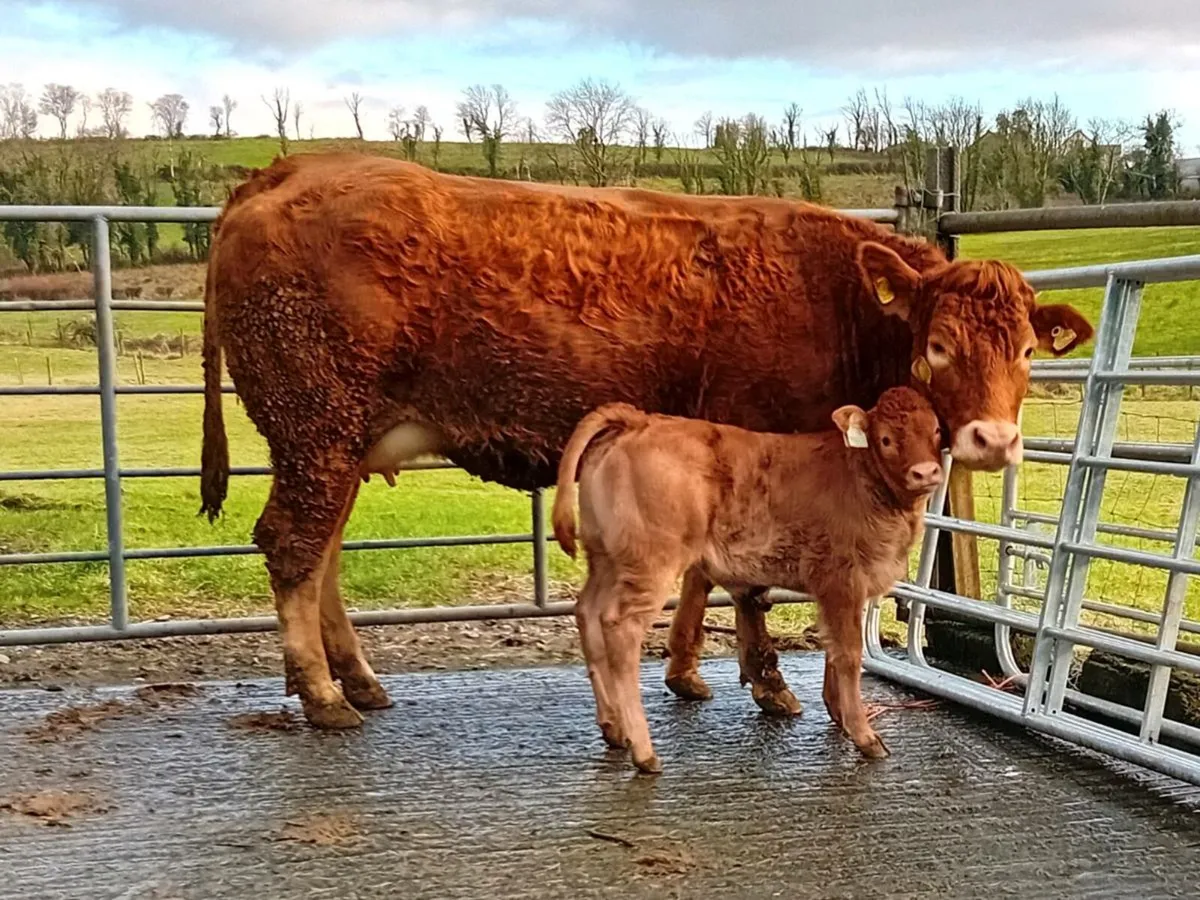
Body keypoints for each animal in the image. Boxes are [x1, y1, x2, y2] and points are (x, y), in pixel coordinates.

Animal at [199, 152, 1092, 730]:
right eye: (937, 345)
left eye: (1025, 349)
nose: (992, 438)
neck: (831, 297)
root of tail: (290, 168)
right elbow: (748, 584)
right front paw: (768, 685)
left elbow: (705, 571)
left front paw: (688, 671)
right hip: (316, 426)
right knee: (291, 546)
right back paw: (321, 696)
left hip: (336, 442)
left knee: (323, 555)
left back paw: (357, 680)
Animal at [551, 387, 944, 772]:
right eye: (886, 439)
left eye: (936, 430)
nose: (926, 473)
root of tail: (638, 420)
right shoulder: (840, 580)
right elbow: (848, 654)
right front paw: (865, 735)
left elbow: (834, 650)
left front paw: (840, 716)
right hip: (650, 563)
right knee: (621, 628)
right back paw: (644, 751)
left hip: (605, 560)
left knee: (588, 613)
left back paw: (614, 728)